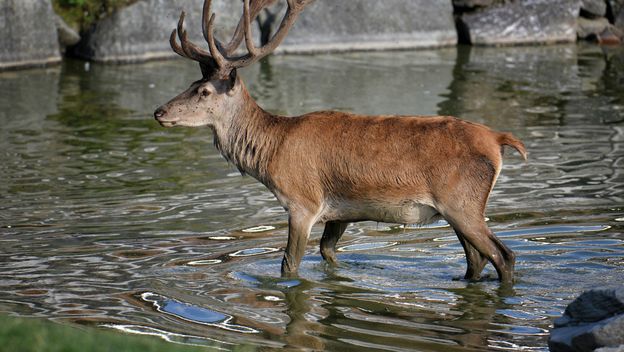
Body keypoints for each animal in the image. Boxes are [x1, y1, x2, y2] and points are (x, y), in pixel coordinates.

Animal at [152, 0, 528, 284]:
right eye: (190, 83)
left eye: (203, 91)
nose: (159, 111)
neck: (271, 151)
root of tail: (498, 139)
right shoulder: (341, 211)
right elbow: (328, 252)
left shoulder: (302, 202)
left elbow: (289, 264)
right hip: (458, 209)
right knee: (476, 260)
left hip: (462, 203)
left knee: (504, 255)